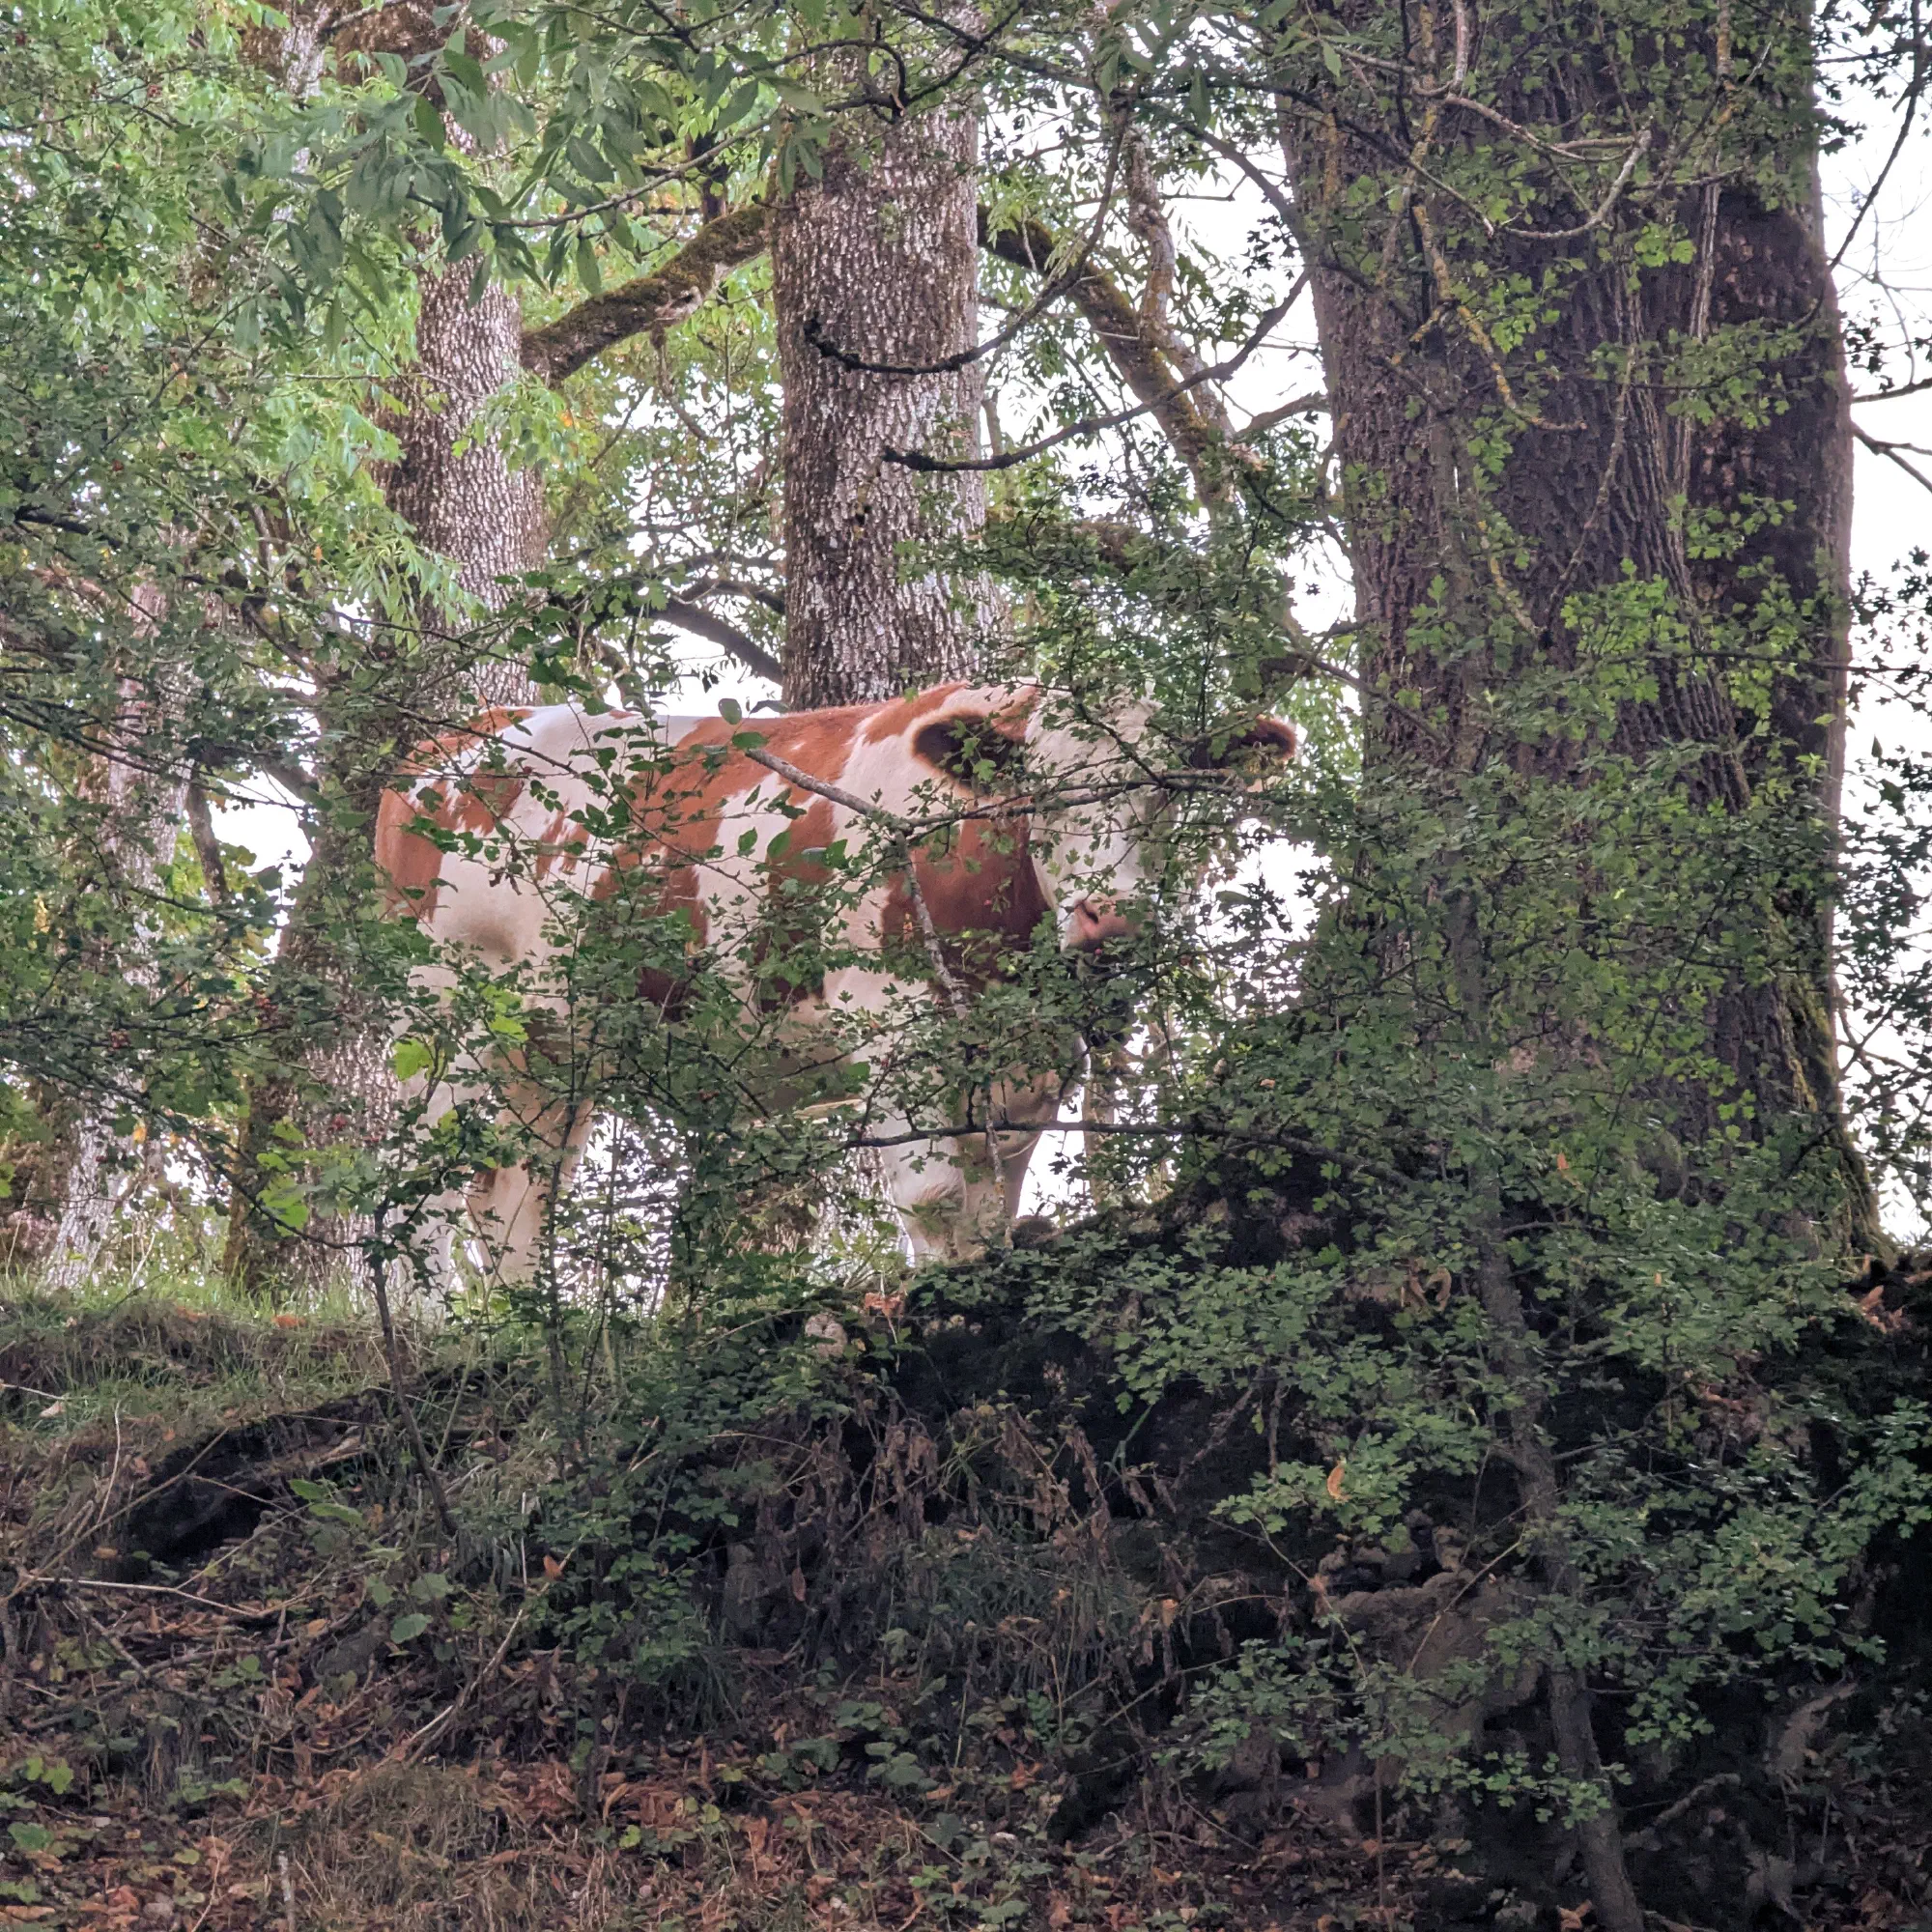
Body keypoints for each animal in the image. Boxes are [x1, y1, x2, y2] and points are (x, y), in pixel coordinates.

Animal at [373, 680, 1294, 1284]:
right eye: (1045, 797)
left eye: (1165, 795)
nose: (1111, 920)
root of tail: (461, 734)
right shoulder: (895, 1019)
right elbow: (934, 1194)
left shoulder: (1034, 1054)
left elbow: (990, 1199)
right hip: (445, 1013)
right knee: (416, 1180)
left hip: (550, 1052)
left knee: (516, 1200)